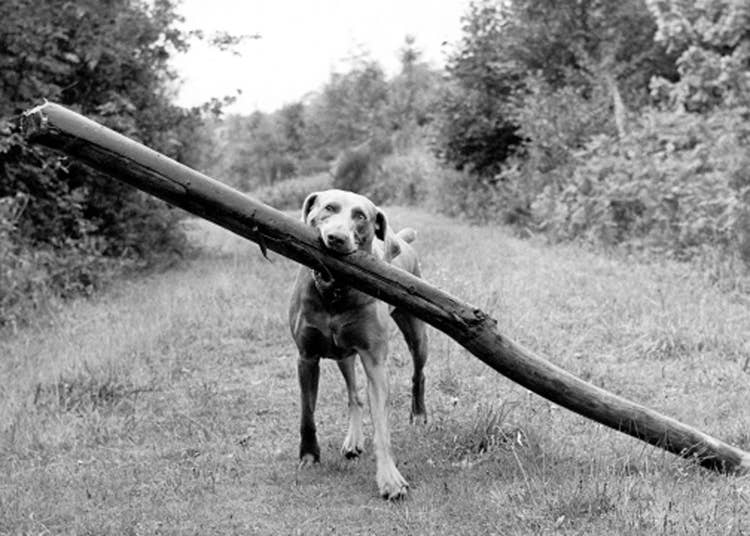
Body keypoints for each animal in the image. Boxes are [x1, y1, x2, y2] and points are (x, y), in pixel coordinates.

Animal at [288, 189, 428, 499]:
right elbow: (306, 414)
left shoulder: (375, 361)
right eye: (328, 208)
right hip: (343, 354)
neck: (333, 292)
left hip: (416, 332)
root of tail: (401, 241)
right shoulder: (306, 356)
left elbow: (382, 429)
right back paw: (353, 441)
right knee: (354, 394)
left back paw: (419, 414)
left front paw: (390, 479)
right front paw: (309, 455)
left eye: (361, 216)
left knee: (418, 372)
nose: (336, 238)